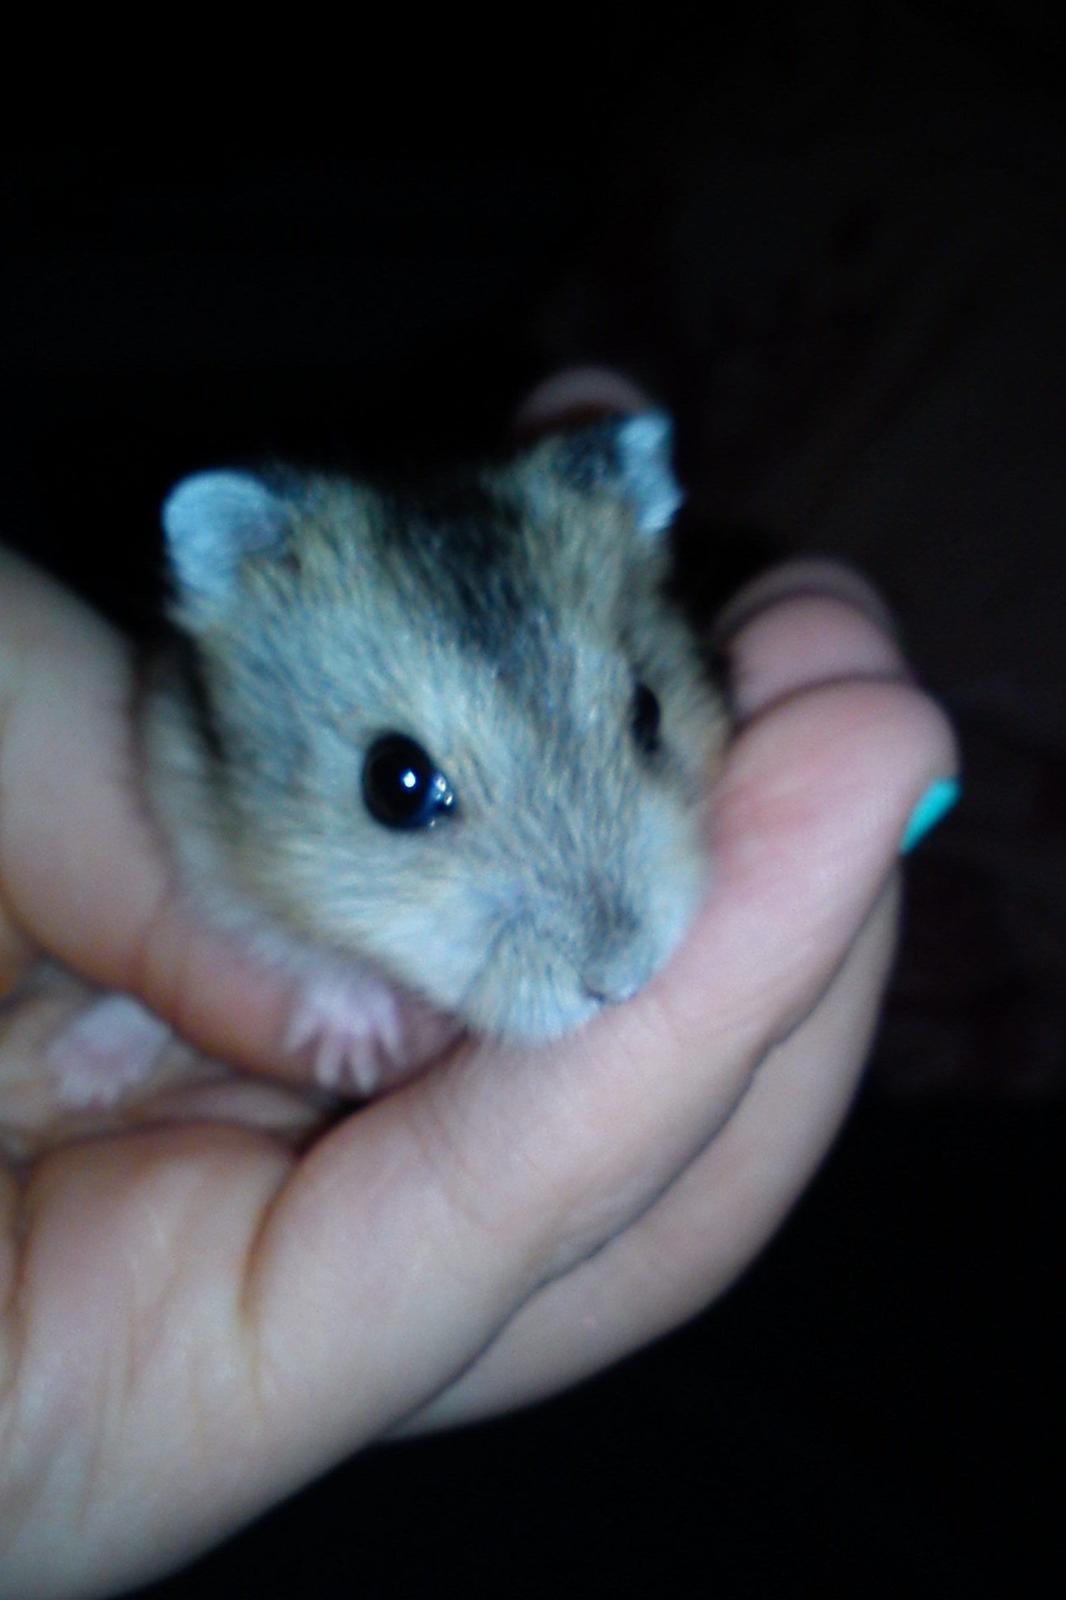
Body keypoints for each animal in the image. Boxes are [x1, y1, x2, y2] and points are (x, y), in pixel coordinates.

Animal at [46, 412, 730, 1107]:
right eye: (397, 784)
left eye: (649, 712)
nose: (623, 981)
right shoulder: (195, 818)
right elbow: (295, 941)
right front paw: (354, 1051)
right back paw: (79, 1072)